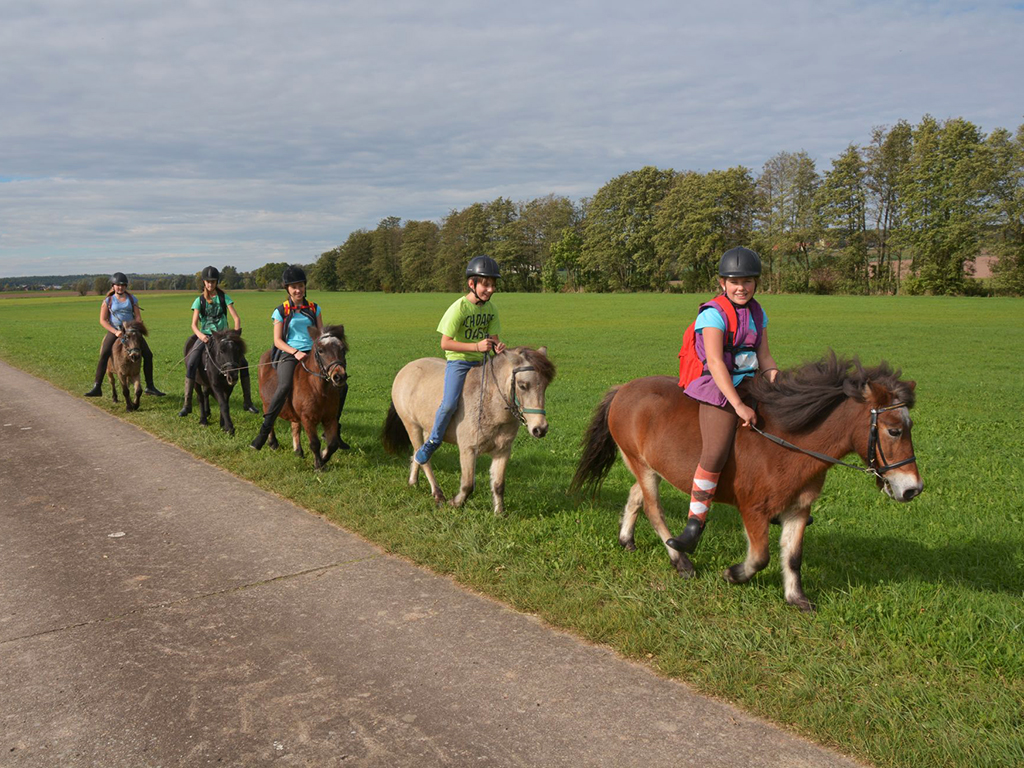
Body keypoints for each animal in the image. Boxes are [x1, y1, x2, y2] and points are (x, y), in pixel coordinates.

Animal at [254, 323, 348, 468]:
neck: (319, 389)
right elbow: (314, 443)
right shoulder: (307, 418)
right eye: (321, 350)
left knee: (295, 427)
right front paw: (319, 465)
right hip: (267, 403)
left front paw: (323, 456)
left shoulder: (330, 418)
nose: (339, 376)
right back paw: (272, 443)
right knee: (269, 418)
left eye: (342, 349)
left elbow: (333, 444)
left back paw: (298, 451)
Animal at [382, 348, 557, 518]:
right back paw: (437, 494)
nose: (540, 429)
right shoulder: (468, 450)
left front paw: (499, 513)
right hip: (411, 426)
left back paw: (413, 481)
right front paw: (455, 503)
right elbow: (468, 484)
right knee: (424, 459)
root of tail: (406, 368)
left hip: (427, 428)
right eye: (522, 385)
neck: (489, 404)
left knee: (419, 454)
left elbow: (498, 484)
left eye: (545, 385)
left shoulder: (503, 451)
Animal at [573, 354, 925, 614]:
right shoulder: (753, 509)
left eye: (909, 427)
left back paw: (626, 540)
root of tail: (624, 388)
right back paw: (681, 559)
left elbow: (792, 557)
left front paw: (796, 598)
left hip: (646, 466)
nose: (912, 489)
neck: (787, 443)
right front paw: (733, 574)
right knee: (654, 509)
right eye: (894, 430)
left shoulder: (799, 509)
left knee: (637, 496)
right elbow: (760, 556)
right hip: (642, 465)